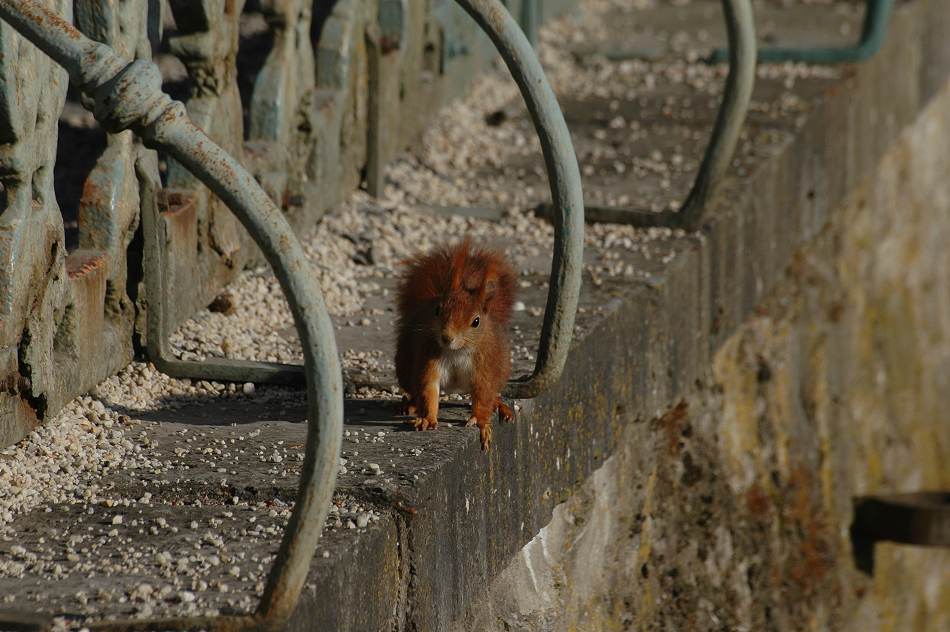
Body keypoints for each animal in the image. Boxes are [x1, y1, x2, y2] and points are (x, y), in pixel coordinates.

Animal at [396, 237, 520, 450]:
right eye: (437, 310)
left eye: (476, 321)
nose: (447, 337)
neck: (457, 351)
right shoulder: (430, 356)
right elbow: (429, 388)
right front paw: (427, 418)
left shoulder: (484, 367)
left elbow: (482, 393)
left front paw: (480, 421)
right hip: (404, 366)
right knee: (414, 389)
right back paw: (410, 404)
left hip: (501, 370)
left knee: (491, 393)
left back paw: (499, 405)